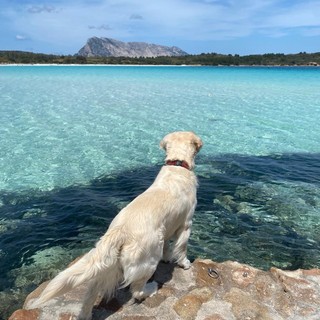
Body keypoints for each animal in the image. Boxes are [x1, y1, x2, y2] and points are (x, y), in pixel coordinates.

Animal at [28, 131, 202, 320]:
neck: (177, 165)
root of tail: (119, 232)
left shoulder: (168, 228)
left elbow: (167, 247)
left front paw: (168, 257)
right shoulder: (186, 224)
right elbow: (181, 248)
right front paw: (185, 263)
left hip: (109, 264)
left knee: (91, 292)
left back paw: (85, 314)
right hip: (148, 259)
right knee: (137, 291)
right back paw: (151, 288)